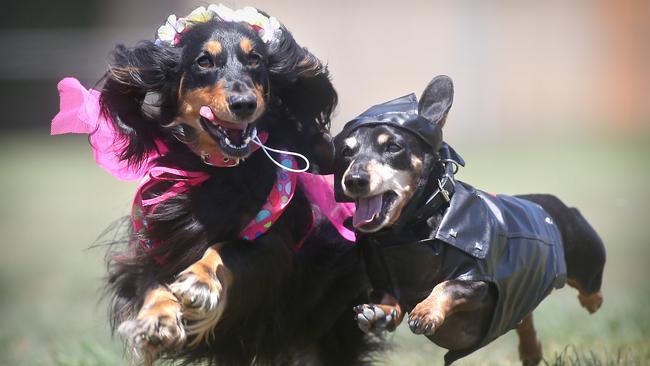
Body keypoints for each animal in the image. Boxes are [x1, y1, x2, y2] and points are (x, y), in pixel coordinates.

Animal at [332, 76, 604, 364]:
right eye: (347, 151)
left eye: (393, 147)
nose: (354, 180)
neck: (413, 233)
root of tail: (557, 205)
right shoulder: (390, 284)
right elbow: (390, 303)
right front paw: (377, 313)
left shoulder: (479, 282)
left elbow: (448, 285)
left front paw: (426, 311)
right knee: (523, 317)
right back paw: (531, 351)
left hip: (586, 261)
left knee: (591, 292)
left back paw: (590, 302)